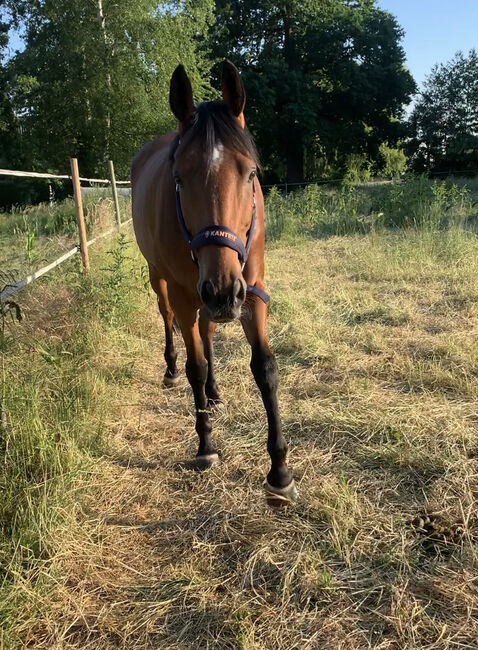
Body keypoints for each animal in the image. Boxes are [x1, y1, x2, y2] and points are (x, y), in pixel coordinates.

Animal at [131, 60, 296, 504]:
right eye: (178, 179)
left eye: (250, 173)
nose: (222, 291)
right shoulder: (189, 294)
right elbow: (196, 367)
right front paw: (205, 445)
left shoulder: (251, 291)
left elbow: (265, 369)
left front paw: (279, 471)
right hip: (165, 282)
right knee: (170, 322)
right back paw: (172, 371)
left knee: (206, 332)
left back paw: (216, 393)